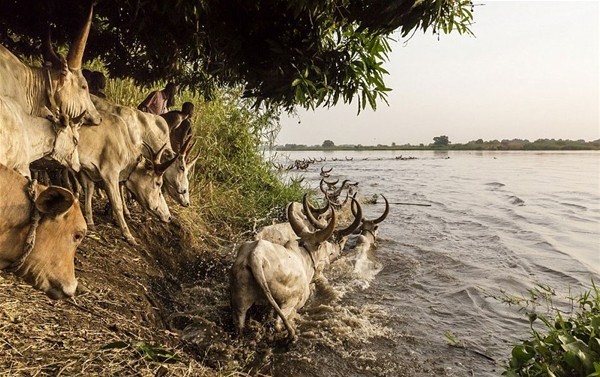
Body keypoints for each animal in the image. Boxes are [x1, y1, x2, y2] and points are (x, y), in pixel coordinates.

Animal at [77, 109, 178, 244]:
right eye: (158, 183)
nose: (169, 217)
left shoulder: (87, 171)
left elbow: (89, 192)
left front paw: (90, 222)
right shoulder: (110, 174)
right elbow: (117, 204)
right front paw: (128, 235)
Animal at [229, 198, 360, 340]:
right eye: (323, 246)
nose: (332, 252)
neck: (304, 255)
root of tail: (255, 256)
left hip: (240, 302)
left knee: (240, 325)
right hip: (288, 302)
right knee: (277, 324)